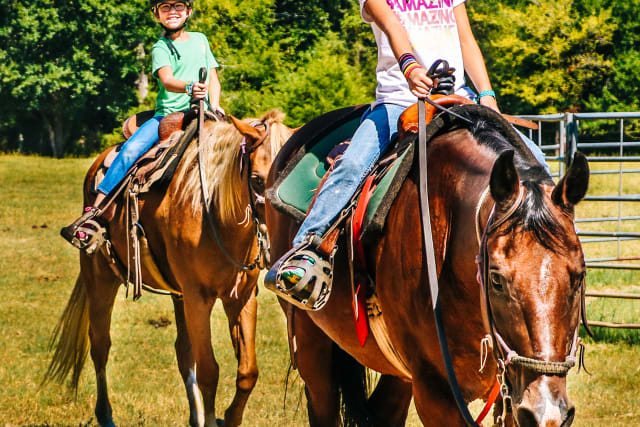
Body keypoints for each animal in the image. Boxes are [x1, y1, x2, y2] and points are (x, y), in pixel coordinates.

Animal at [45, 111, 296, 427]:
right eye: (256, 179)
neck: (213, 212)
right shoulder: (198, 298)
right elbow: (209, 371)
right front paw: (213, 419)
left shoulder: (241, 297)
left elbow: (247, 371)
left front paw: (227, 417)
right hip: (100, 277)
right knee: (100, 345)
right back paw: (106, 415)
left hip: (179, 295)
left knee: (183, 352)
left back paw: (195, 415)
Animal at [266, 104, 592, 427]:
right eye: (496, 279)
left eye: (578, 277)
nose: (547, 411)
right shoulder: (435, 393)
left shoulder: (507, 394)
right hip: (310, 344)